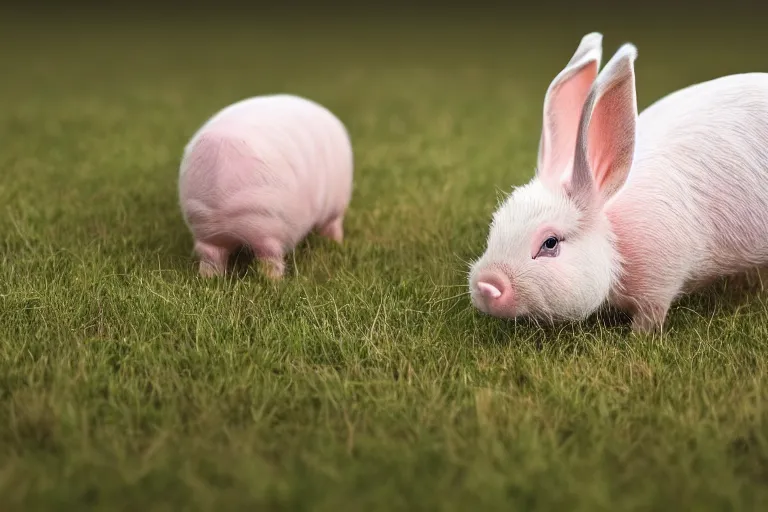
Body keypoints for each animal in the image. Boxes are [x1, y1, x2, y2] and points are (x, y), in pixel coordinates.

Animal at [468, 34, 768, 334]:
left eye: (550, 243)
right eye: (496, 223)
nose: (486, 283)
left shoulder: (661, 278)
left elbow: (651, 315)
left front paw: (637, 336)